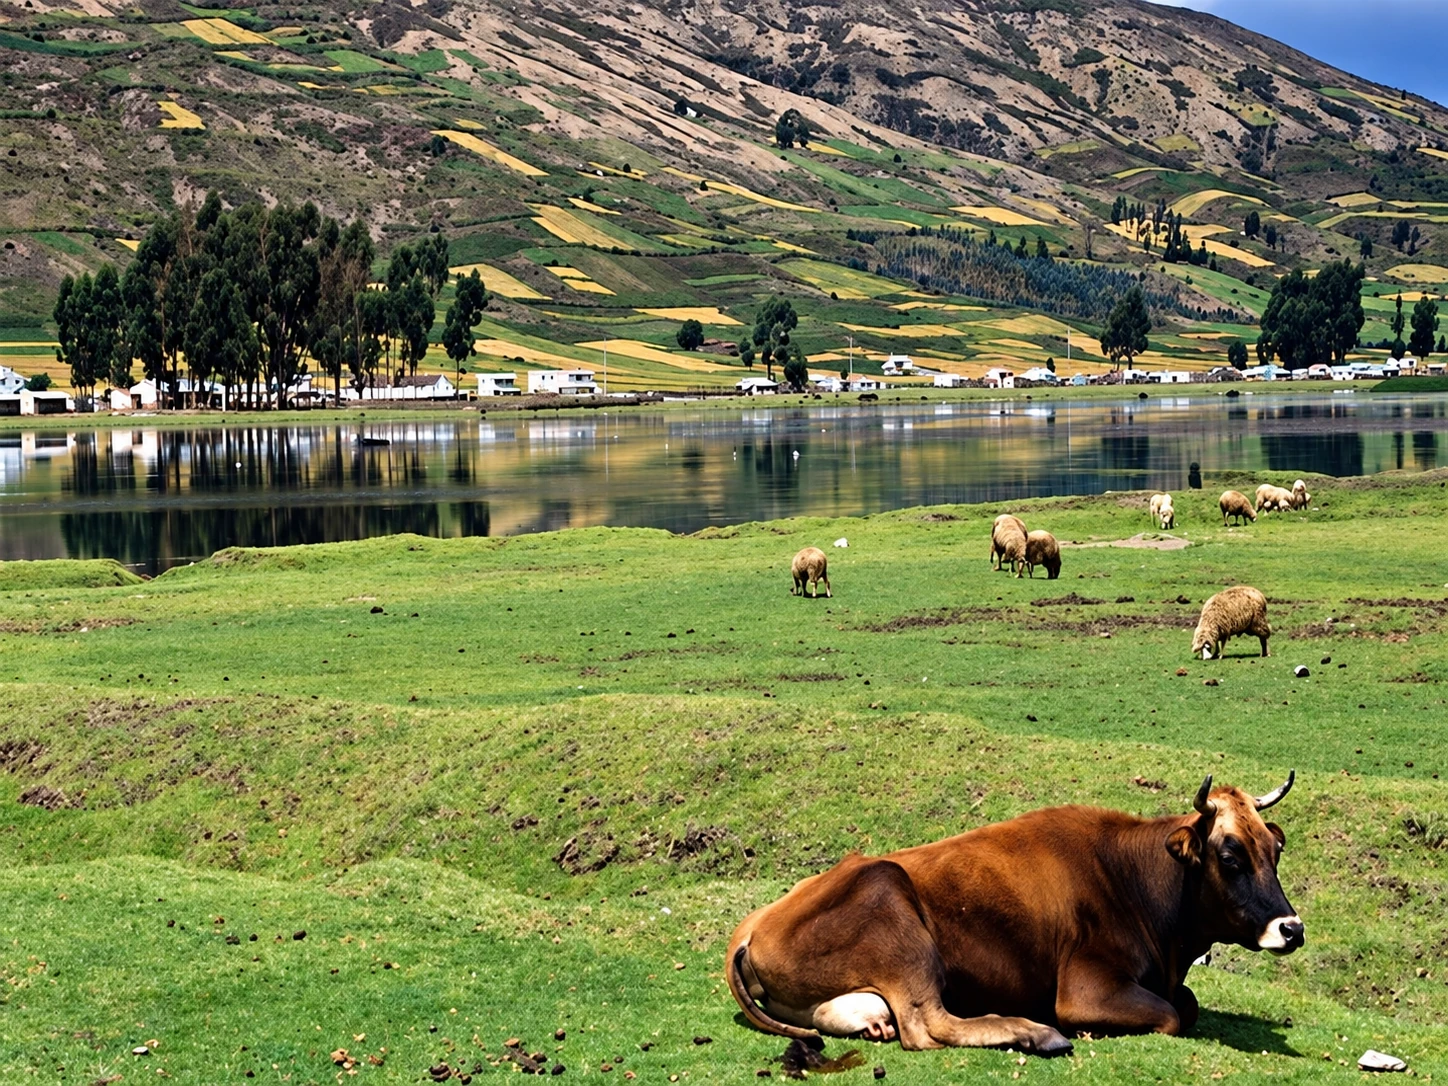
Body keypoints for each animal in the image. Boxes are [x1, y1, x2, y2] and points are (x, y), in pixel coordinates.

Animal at [726, 773, 1301, 1056]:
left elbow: (1188, 1002)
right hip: (894, 909)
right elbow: (1172, 1015)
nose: (1292, 929)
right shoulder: (1086, 990)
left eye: (1274, 850)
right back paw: (1035, 1033)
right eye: (1230, 856)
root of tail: (751, 927)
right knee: (926, 1026)